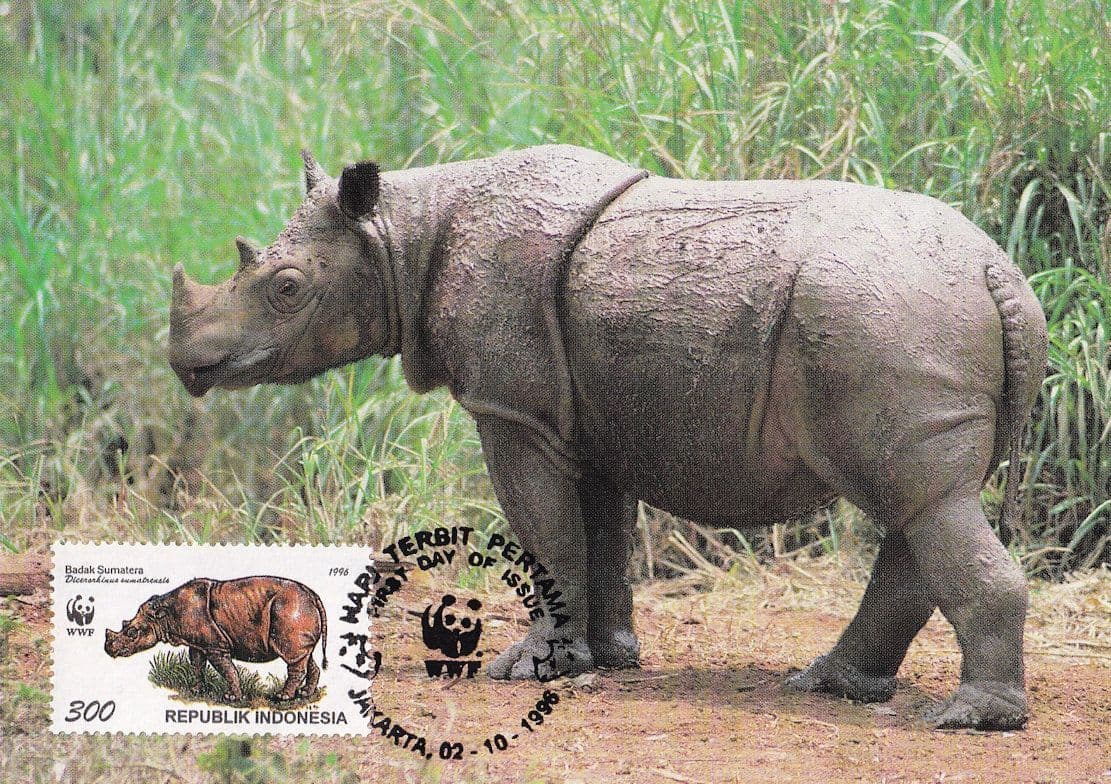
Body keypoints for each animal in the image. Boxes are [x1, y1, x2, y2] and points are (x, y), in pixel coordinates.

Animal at [105, 575, 328, 702]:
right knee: (304, 656)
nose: (109, 650)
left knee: (293, 656)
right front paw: (196, 690)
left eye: (132, 633)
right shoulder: (197, 643)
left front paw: (231, 698)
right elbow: (196, 664)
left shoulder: (215, 646)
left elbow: (227, 670)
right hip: (297, 613)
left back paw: (282, 698)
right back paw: (305, 694)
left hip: (290, 610)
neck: (164, 615)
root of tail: (313, 596)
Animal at [168, 145, 1046, 730]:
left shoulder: (511, 410)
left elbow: (543, 529)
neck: (400, 235)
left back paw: (968, 719)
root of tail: (997, 274)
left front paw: (523, 671)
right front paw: (607, 659)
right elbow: (600, 532)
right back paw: (830, 685)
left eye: (286, 289)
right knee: (924, 506)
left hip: (886, 318)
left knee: (921, 504)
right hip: (907, 316)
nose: (187, 364)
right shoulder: (585, 413)